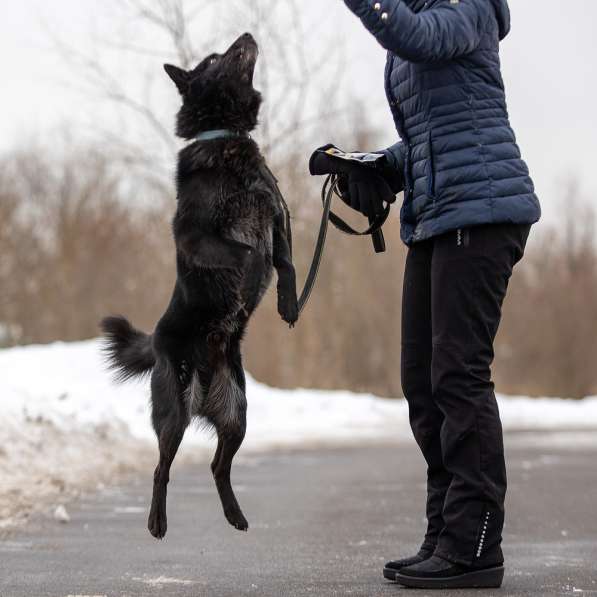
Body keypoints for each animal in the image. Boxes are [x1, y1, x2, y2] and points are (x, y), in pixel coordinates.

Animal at [102, 33, 300, 540]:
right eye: (213, 58)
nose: (247, 34)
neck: (225, 142)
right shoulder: (196, 236)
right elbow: (248, 254)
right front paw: (250, 279)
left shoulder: (278, 218)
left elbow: (287, 263)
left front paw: (288, 304)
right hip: (174, 410)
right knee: (162, 468)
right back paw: (156, 521)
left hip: (238, 414)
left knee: (218, 466)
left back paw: (235, 515)